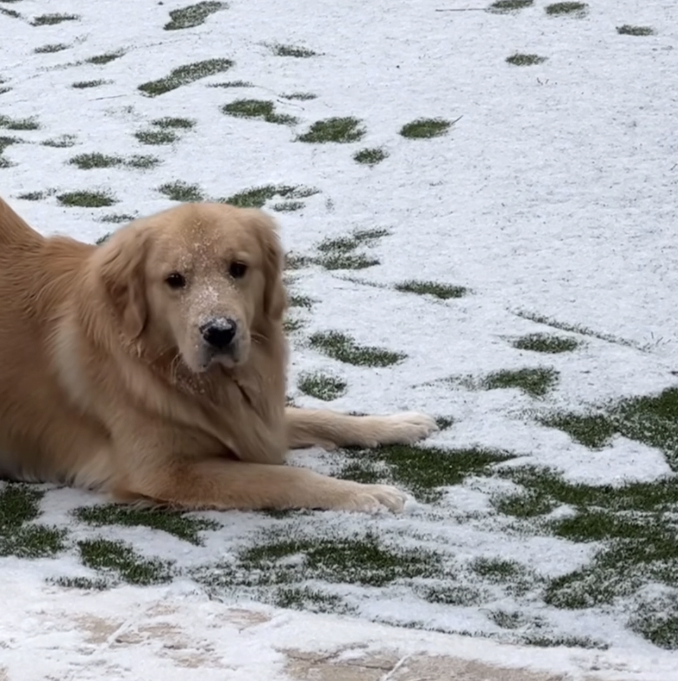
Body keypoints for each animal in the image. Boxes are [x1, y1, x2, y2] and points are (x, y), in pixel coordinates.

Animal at [0, 199, 436, 512]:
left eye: (238, 268)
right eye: (175, 280)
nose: (220, 331)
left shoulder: (253, 418)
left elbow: (322, 417)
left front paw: (396, 424)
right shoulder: (163, 472)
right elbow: (283, 478)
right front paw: (366, 493)